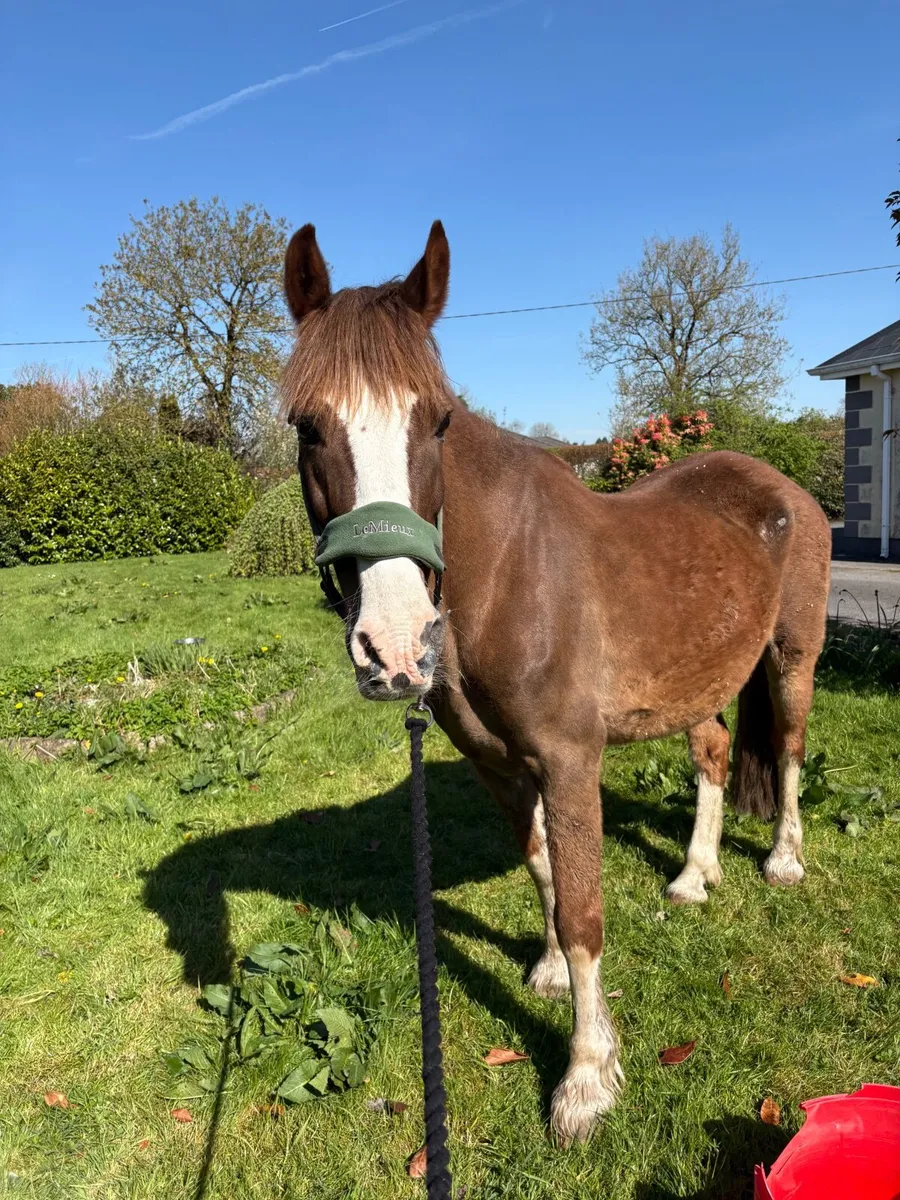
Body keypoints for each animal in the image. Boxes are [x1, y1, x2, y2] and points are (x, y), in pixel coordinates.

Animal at [279, 220, 831, 1144]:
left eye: (438, 421)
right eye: (306, 426)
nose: (394, 646)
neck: (507, 575)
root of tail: (784, 486)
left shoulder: (572, 762)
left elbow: (582, 911)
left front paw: (586, 1078)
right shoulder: (498, 764)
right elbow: (542, 866)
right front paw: (543, 974)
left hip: (792, 657)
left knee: (786, 748)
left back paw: (782, 861)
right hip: (696, 679)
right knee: (715, 754)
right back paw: (694, 876)